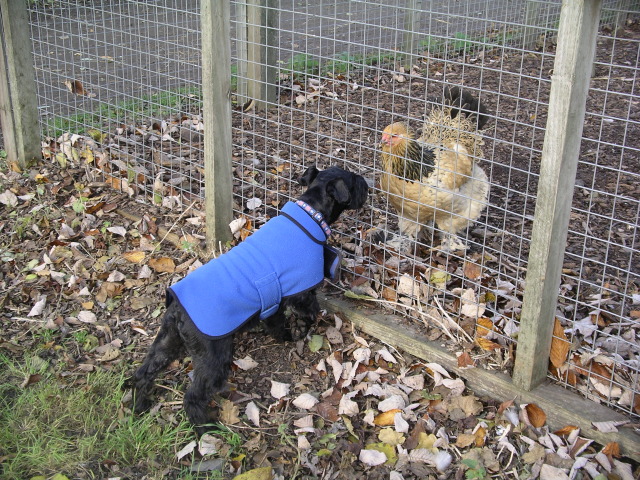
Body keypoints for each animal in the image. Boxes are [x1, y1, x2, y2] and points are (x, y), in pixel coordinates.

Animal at [132, 165, 368, 433]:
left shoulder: (274, 301)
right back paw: (205, 426)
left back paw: (140, 404)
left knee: (145, 372)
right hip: (214, 356)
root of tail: (178, 310)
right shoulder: (301, 293)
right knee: (193, 395)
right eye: (354, 181)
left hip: (167, 341)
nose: (367, 185)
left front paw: (284, 336)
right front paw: (299, 333)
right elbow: (309, 313)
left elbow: (275, 323)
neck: (312, 212)